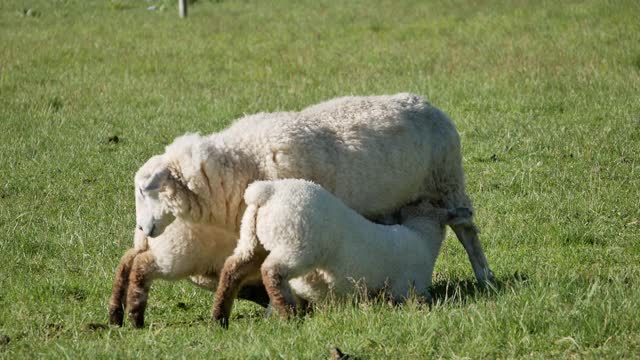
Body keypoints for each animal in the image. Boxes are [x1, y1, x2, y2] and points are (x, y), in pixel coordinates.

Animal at [110, 93, 492, 330]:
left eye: (145, 190)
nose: (143, 231)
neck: (239, 161)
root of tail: (425, 102)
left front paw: (283, 309)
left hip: (446, 180)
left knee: (466, 230)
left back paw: (485, 277)